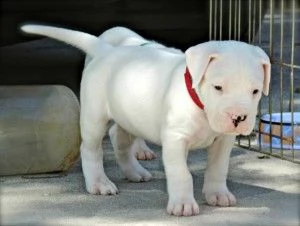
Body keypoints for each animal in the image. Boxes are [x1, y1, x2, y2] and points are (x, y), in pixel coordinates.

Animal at [21, 23, 270, 216]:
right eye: (218, 87)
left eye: (255, 91)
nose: (238, 117)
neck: (200, 106)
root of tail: (107, 51)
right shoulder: (175, 140)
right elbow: (181, 173)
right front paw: (183, 204)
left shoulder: (223, 141)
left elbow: (218, 168)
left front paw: (217, 194)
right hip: (94, 118)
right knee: (91, 149)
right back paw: (99, 183)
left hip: (129, 116)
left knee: (119, 140)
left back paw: (134, 172)